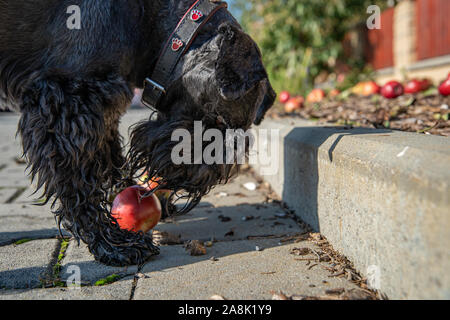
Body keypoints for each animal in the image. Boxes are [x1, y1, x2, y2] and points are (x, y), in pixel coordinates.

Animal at [0, 0, 274, 264]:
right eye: (217, 117)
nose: (204, 178)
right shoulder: (68, 100)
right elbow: (76, 182)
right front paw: (112, 243)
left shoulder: (100, 106)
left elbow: (109, 161)